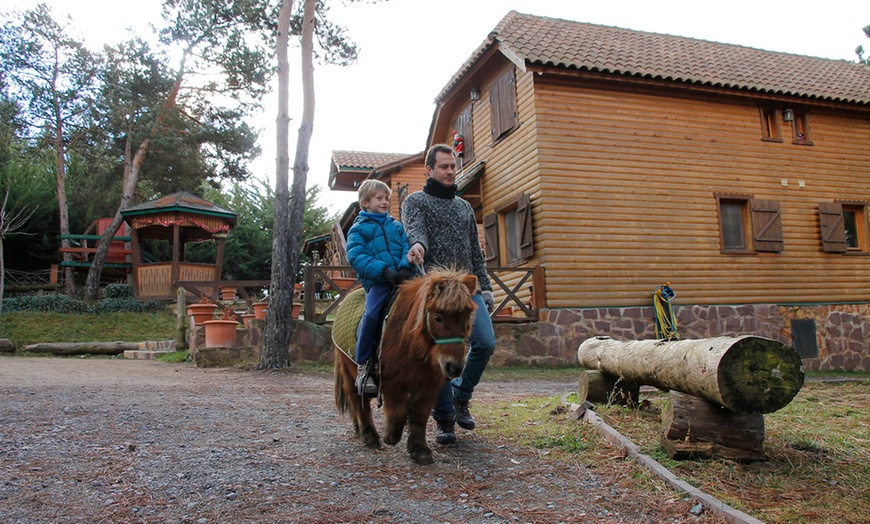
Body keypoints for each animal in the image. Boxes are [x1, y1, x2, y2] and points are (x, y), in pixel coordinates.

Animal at [338, 268, 480, 464]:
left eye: (466, 317)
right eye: (438, 318)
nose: (454, 367)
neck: (410, 342)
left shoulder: (428, 384)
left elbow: (419, 414)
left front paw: (419, 450)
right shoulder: (392, 382)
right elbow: (399, 413)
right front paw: (391, 436)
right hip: (348, 370)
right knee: (359, 401)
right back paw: (370, 437)